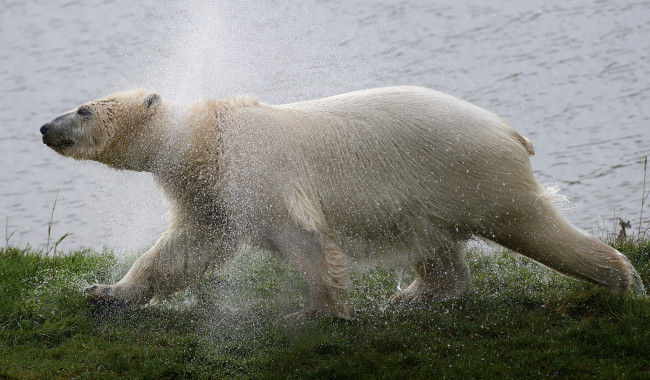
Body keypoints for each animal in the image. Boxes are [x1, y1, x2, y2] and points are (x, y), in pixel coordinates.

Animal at [40, 85, 644, 318]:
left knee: (535, 227)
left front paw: (314, 310)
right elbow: (185, 250)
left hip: (471, 174)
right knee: (436, 250)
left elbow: (304, 238)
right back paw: (410, 295)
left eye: (84, 109)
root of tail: (512, 132)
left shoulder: (260, 173)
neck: (209, 140)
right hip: (427, 195)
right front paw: (105, 292)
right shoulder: (212, 194)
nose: (46, 126)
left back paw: (623, 281)